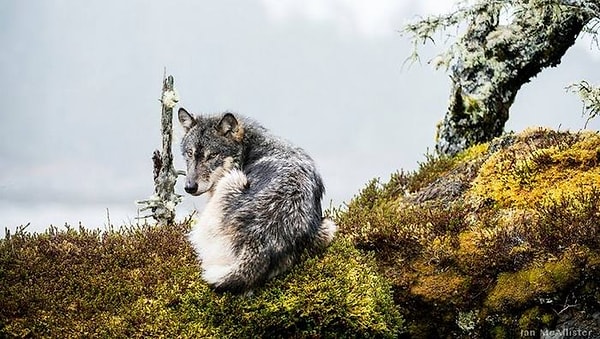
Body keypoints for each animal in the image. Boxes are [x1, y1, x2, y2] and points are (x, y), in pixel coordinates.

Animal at [178, 107, 338, 294]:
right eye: (190, 153)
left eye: (212, 156)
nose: (189, 187)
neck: (250, 147)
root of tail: (259, 239)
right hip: (328, 227)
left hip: (232, 180)